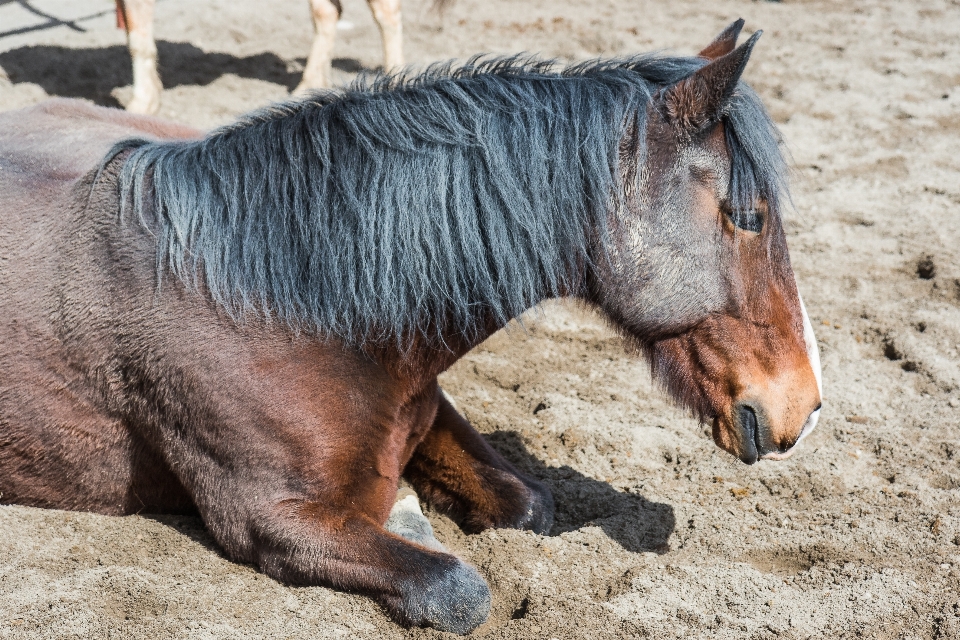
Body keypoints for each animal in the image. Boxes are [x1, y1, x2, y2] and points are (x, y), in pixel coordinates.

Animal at [1, 21, 824, 636]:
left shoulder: (425, 410)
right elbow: (456, 587)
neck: (278, 301)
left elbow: (529, 504)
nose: (804, 411)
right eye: (747, 215)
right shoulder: (268, 519)